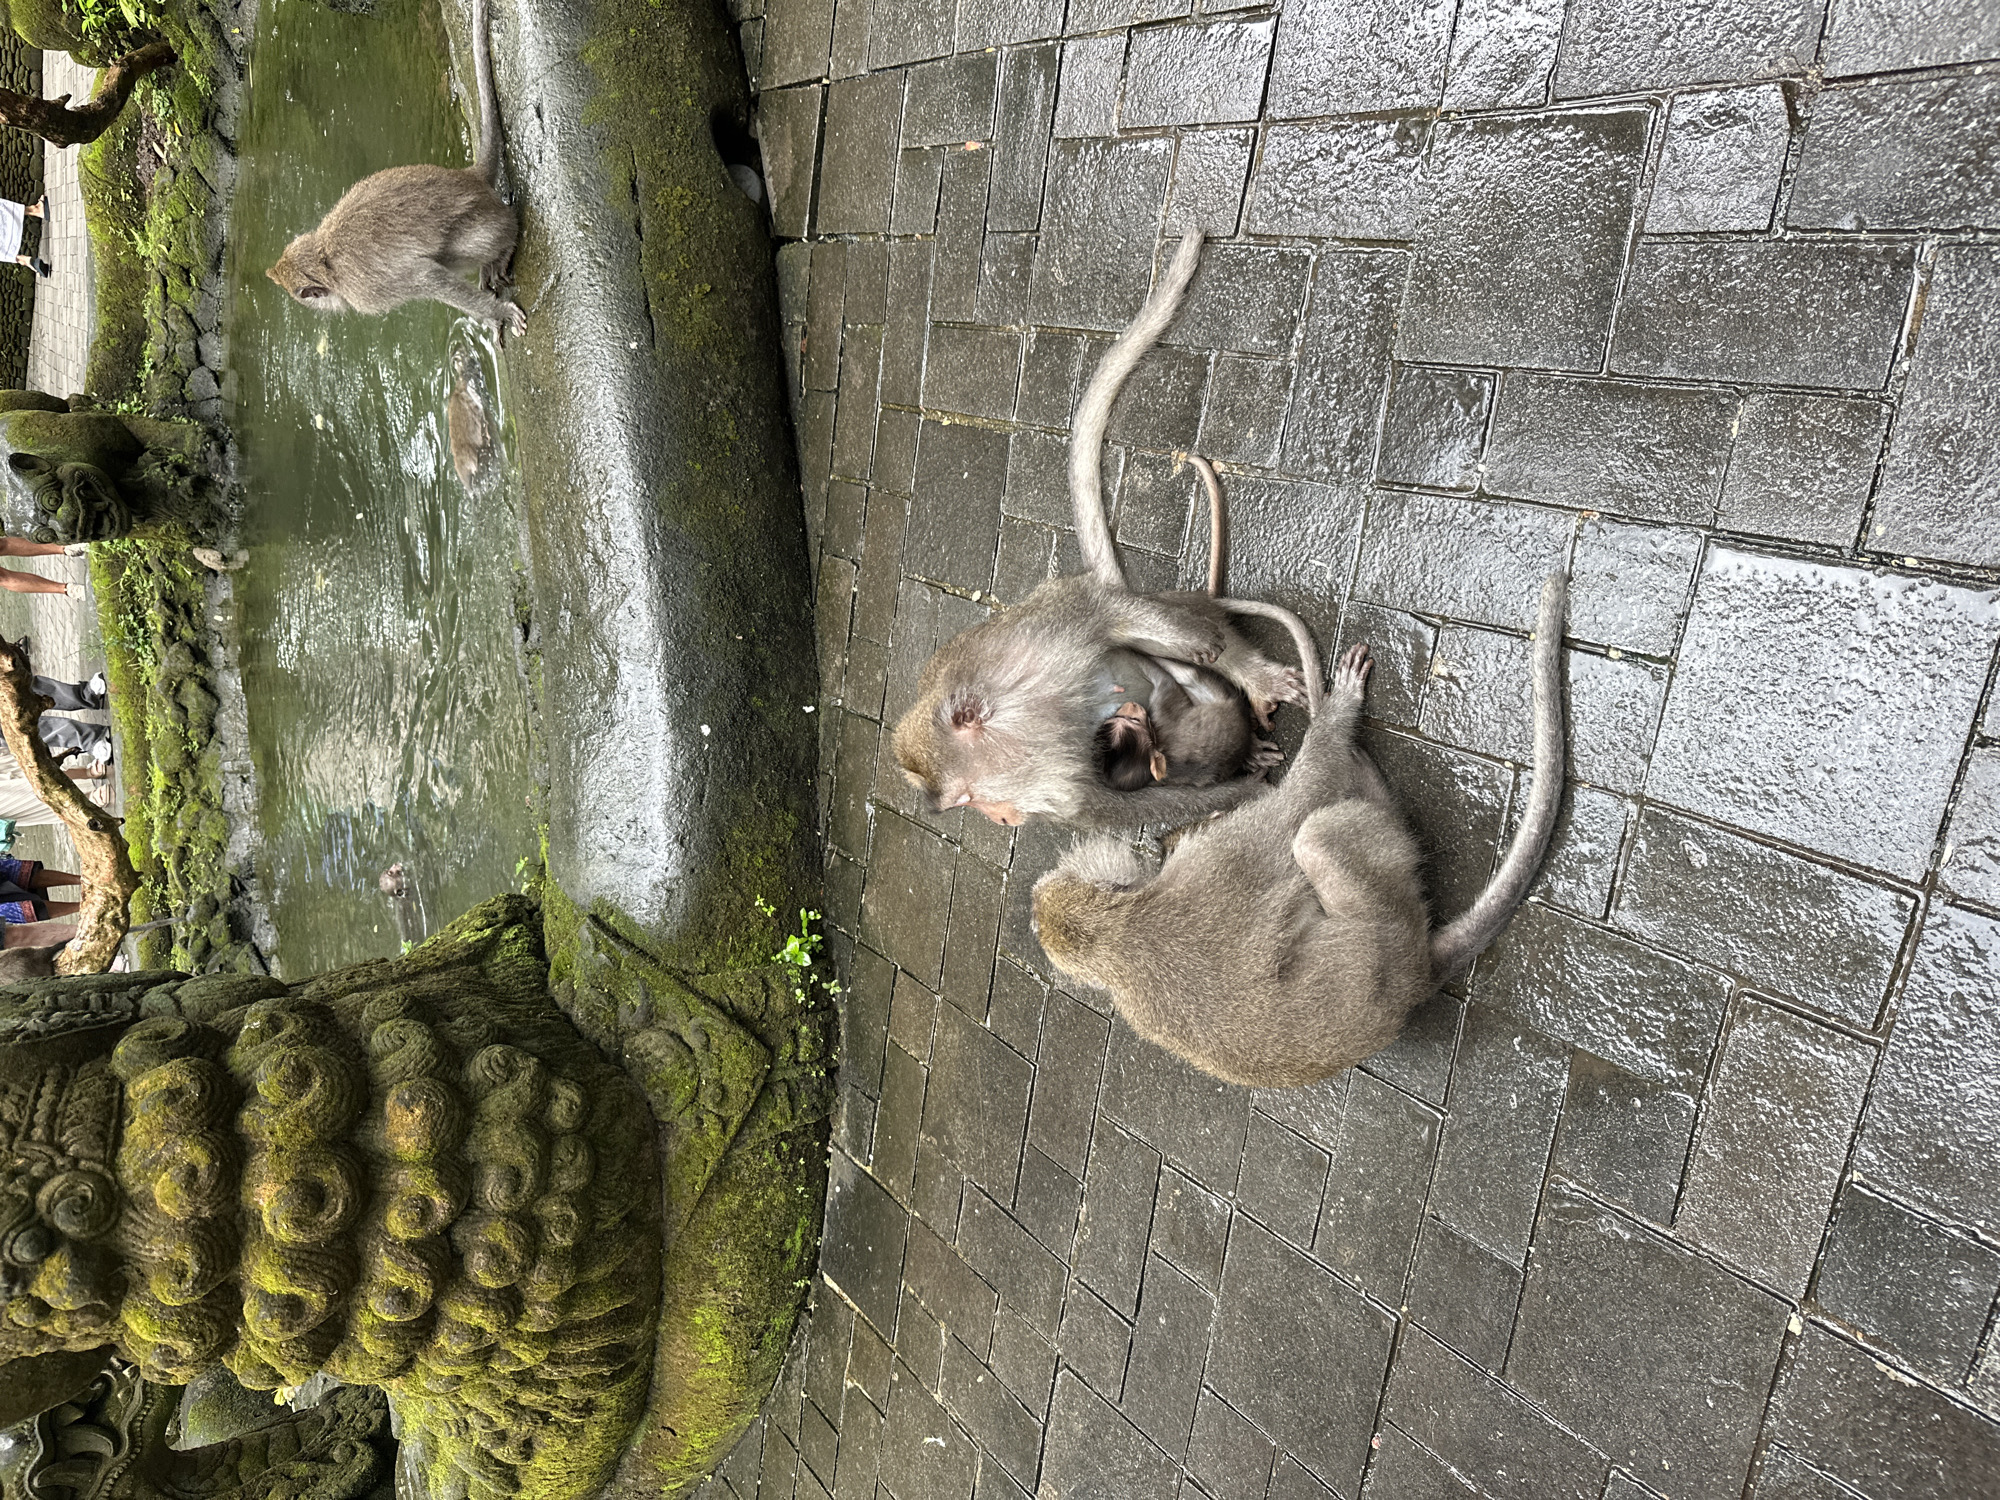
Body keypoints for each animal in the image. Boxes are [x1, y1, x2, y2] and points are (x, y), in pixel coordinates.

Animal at [266, 0, 525, 334]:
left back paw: (502, 248)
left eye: (306, 299)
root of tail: (468, 176)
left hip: (482, 222)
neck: (325, 259)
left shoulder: (366, 290)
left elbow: (426, 277)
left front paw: (496, 313)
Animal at [892, 233, 1320, 829]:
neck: (1021, 722)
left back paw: (1241, 668)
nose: (1004, 820)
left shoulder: (1027, 646)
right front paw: (1245, 786)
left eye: (968, 799)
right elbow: (1105, 803)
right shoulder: (1047, 776)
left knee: (1157, 621)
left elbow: (1098, 610)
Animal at [1032, 573, 1569, 1089]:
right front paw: (1338, 712)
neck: (1111, 934)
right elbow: (1304, 794)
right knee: (1315, 834)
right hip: (1383, 909)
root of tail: (1415, 977)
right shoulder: (1225, 859)